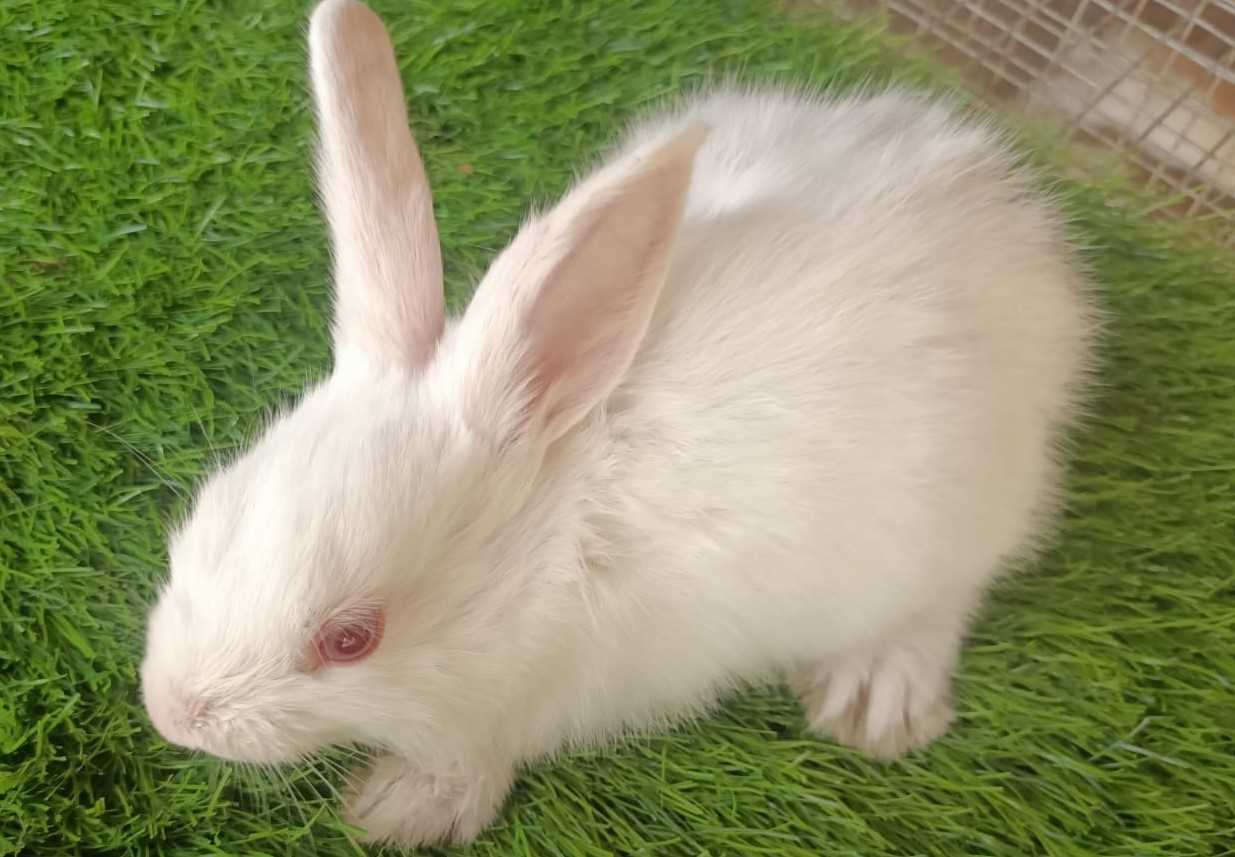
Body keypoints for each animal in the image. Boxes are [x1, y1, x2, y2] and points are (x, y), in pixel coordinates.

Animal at [140, 0, 1099, 847]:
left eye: (350, 639)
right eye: (205, 516)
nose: (173, 711)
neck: (552, 539)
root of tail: (1007, 212)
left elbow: (473, 753)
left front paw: (400, 809)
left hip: (954, 513)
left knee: (949, 593)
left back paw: (873, 697)